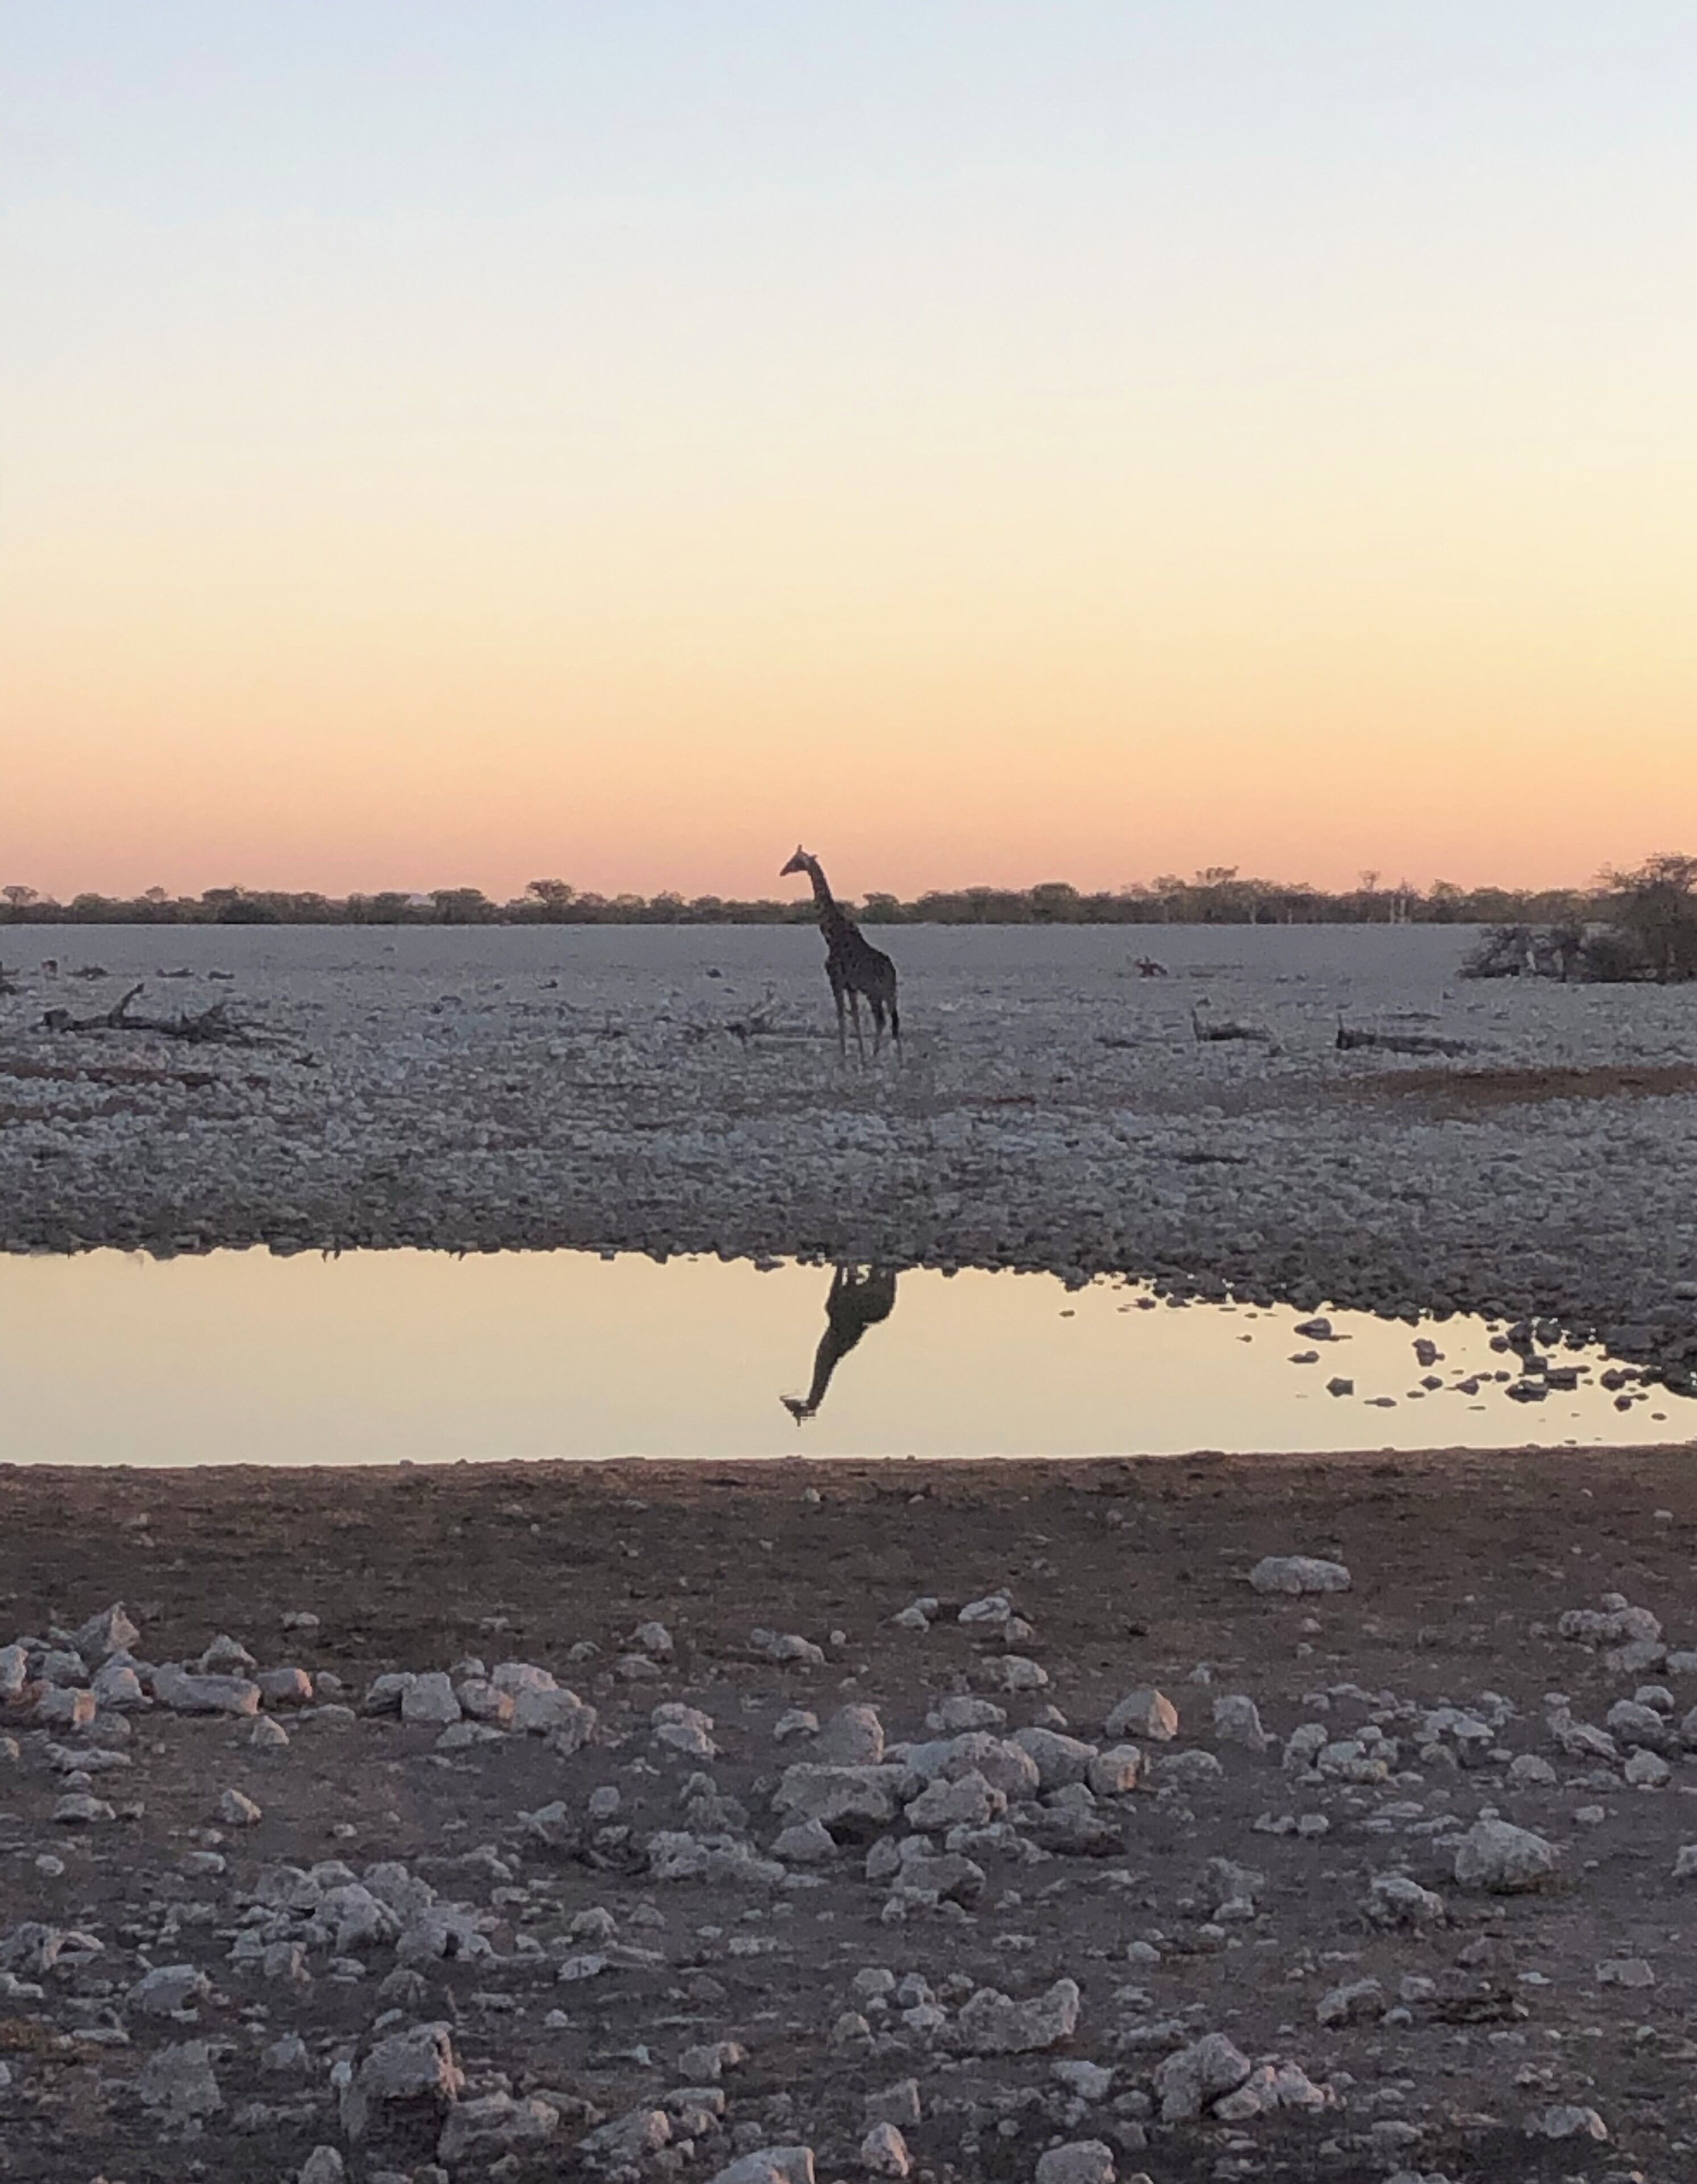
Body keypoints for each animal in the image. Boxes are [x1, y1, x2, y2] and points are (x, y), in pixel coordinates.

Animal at [780, 846, 900, 1059]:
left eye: (796, 860)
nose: (783, 871)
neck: (831, 936)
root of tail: (891, 971)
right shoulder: (850, 986)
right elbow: (855, 1019)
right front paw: (860, 1057)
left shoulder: (836, 980)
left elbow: (842, 1018)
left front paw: (844, 1059)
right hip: (889, 993)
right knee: (893, 1022)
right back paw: (893, 1059)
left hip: (875, 992)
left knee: (882, 1020)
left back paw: (876, 1057)